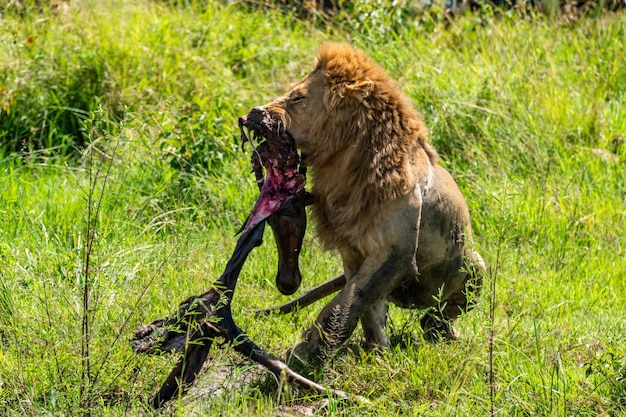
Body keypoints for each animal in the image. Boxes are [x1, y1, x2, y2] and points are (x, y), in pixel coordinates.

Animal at [246, 44, 486, 360]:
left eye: (297, 97)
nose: (254, 112)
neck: (346, 169)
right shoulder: (353, 253)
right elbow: (364, 308)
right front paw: (377, 354)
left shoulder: (396, 255)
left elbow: (345, 303)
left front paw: (308, 349)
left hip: (477, 265)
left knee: (437, 315)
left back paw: (441, 331)